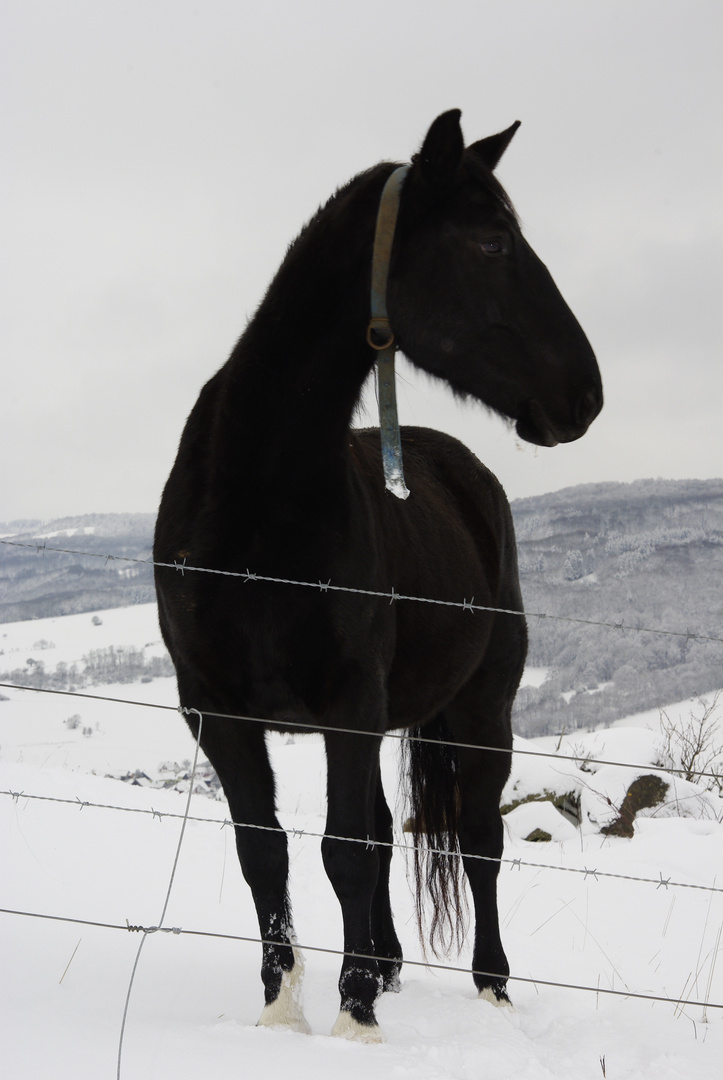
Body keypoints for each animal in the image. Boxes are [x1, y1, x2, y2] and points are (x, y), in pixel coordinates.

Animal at [155, 109, 600, 1036]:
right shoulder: (216, 710)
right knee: (392, 828)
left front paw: (353, 1017)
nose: (583, 396)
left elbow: (345, 852)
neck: (253, 498)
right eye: (490, 241)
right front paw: (284, 1011)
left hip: (480, 712)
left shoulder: (350, 707)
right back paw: (389, 965)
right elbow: (266, 853)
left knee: (477, 841)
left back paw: (490, 988)